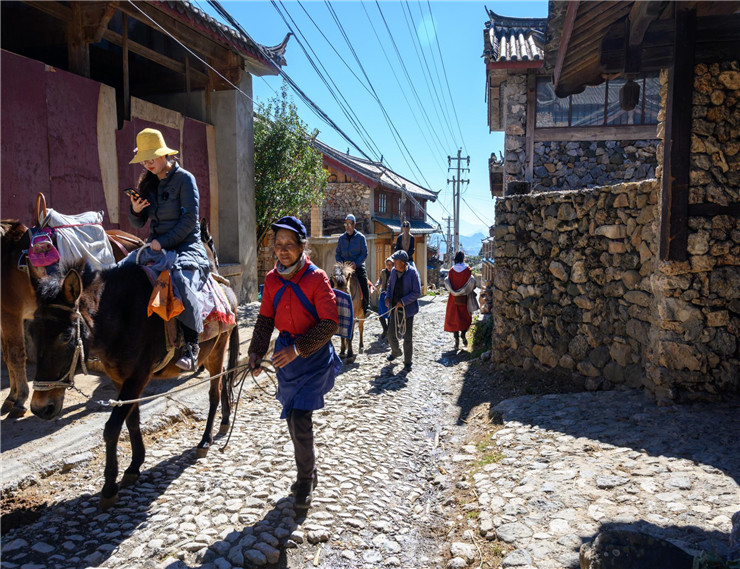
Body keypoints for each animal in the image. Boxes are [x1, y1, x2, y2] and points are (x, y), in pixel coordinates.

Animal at [28, 260, 237, 508]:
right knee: (223, 382)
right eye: (31, 334)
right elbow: (132, 420)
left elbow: (112, 428)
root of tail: (228, 290)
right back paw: (225, 421)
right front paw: (134, 466)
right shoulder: (120, 380)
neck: (120, 319)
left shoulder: (137, 376)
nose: (40, 408)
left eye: (66, 337)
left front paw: (109, 487)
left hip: (216, 350)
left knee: (214, 392)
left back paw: (205, 441)